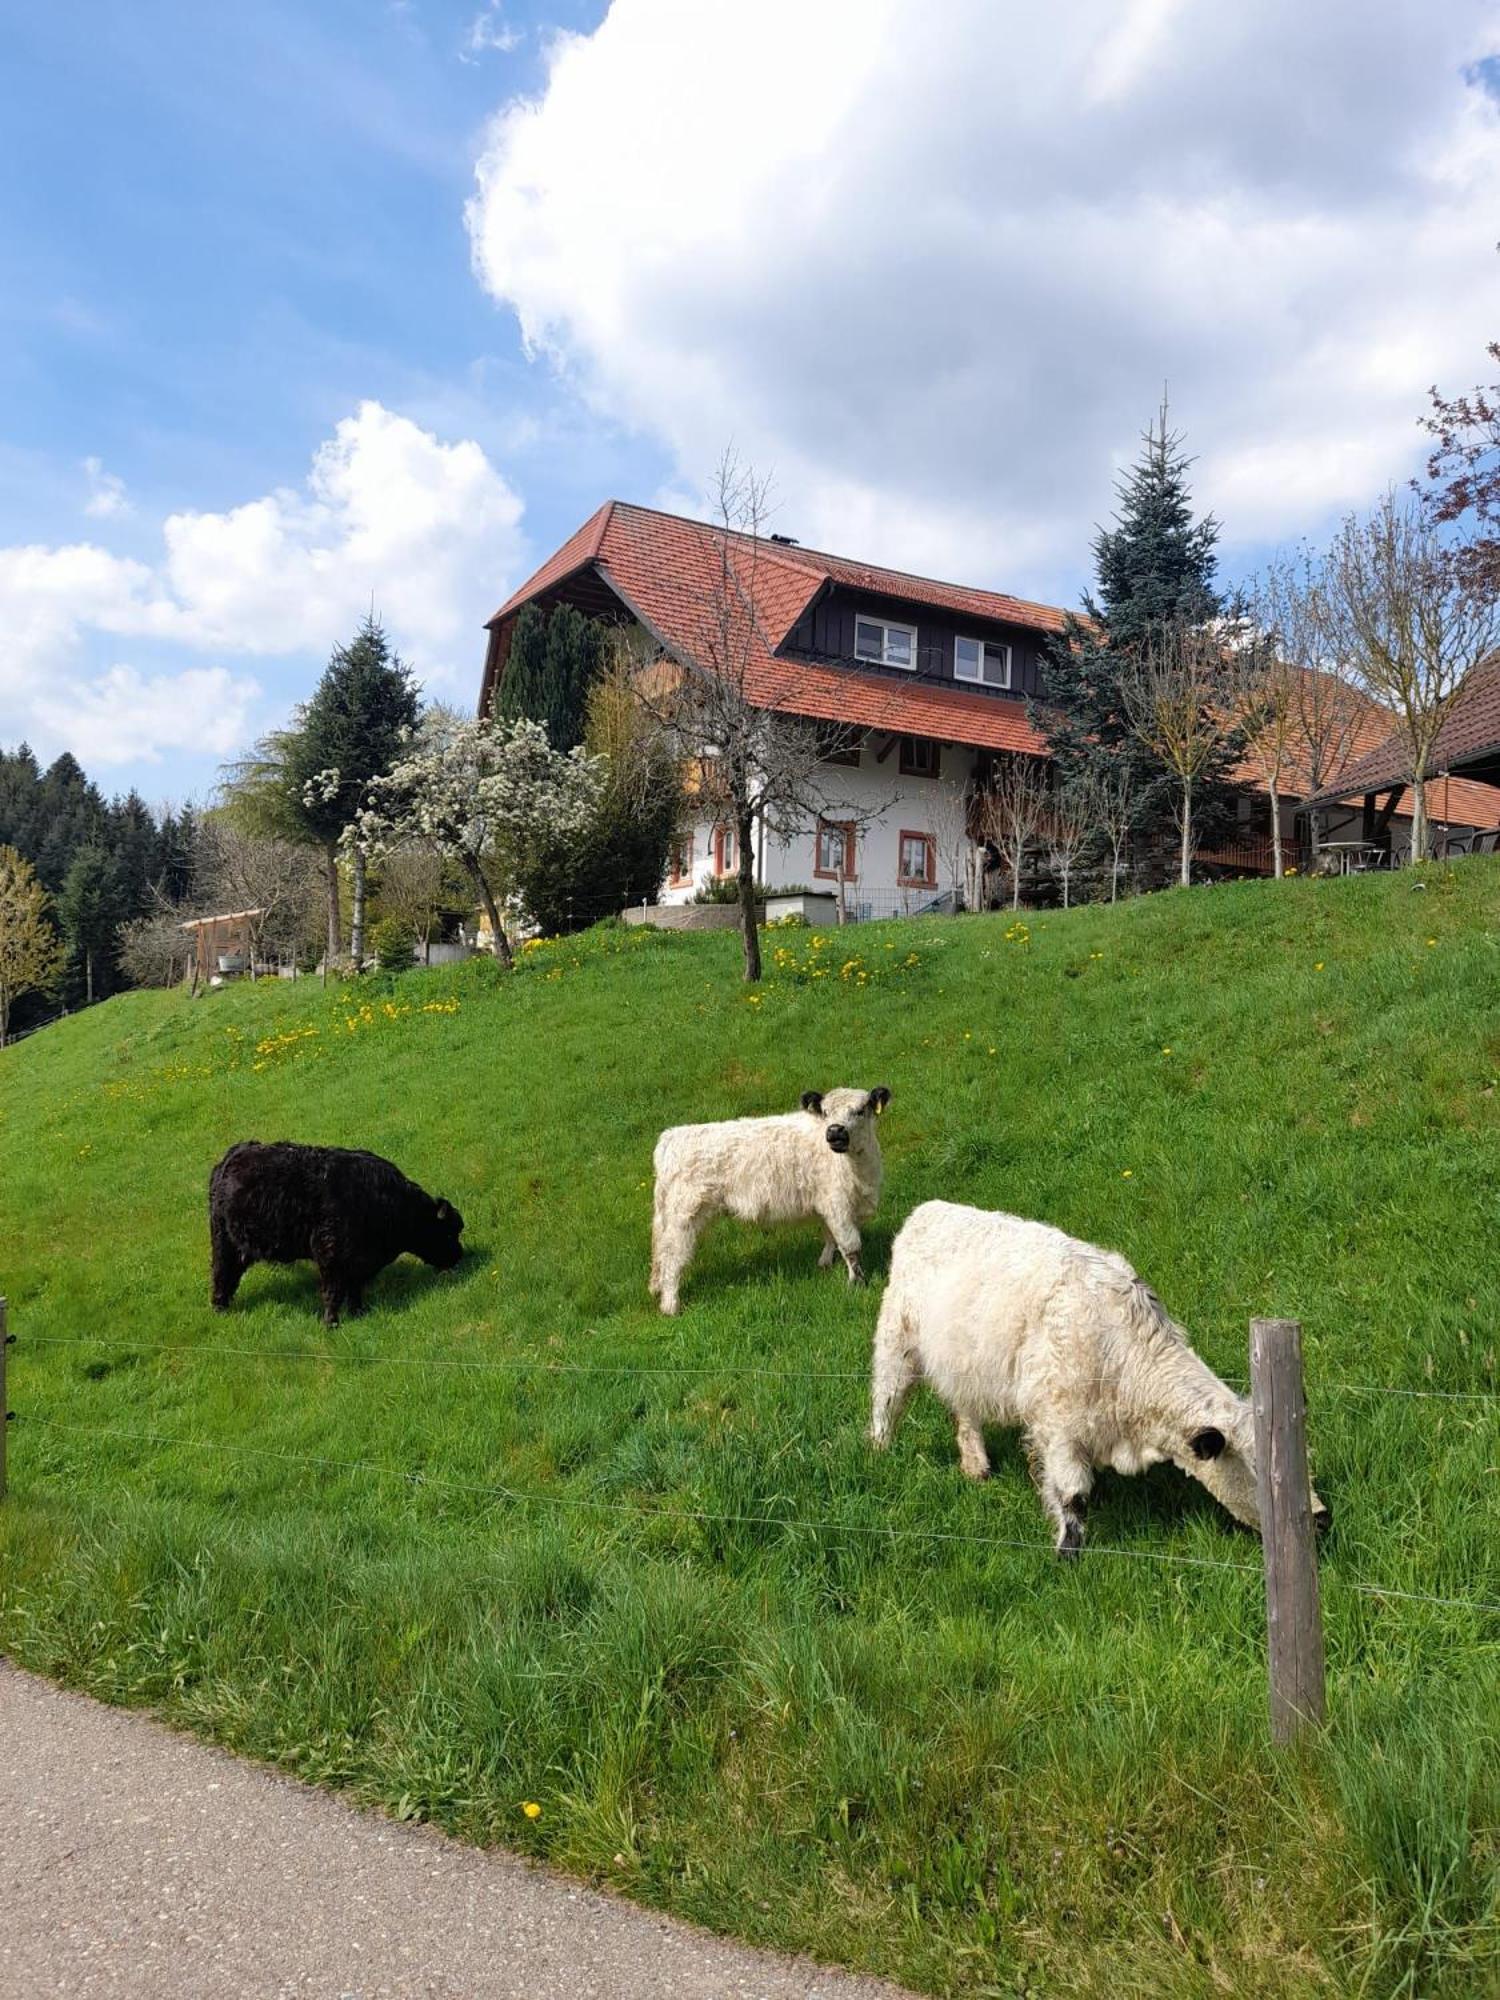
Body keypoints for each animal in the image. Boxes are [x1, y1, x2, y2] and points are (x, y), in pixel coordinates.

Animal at [207, 1144, 464, 1328]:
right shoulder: (330, 1254)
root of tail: (234, 1153)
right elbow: (333, 1291)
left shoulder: (357, 1263)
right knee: (221, 1272)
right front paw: (332, 1322)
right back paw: (219, 1307)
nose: (459, 1256)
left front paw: (358, 1312)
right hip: (223, 1240)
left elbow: (354, 1288)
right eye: (449, 1234)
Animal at [648, 1096, 888, 1312]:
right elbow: (850, 1246)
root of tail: (673, 1136)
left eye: (860, 1111)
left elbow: (830, 1236)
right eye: (826, 1112)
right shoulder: (837, 1203)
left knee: (660, 1251)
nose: (835, 1132)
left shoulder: (832, 1205)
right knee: (672, 1257)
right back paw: (671, 1306)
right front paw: (857, 1284)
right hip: (685, 1215)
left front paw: (825, 1263)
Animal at [868, 1192, 1328, 1552]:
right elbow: (1073, 1497)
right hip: (896, 1343)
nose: (1321, 1519)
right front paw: (1068, 1555)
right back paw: (879, 1450)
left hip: (964, 1364)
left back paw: (976, 1465)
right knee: (886, 1398)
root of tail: (929, 1209)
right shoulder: (1058, 1428)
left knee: (965, 1412)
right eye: (1262, 1475)